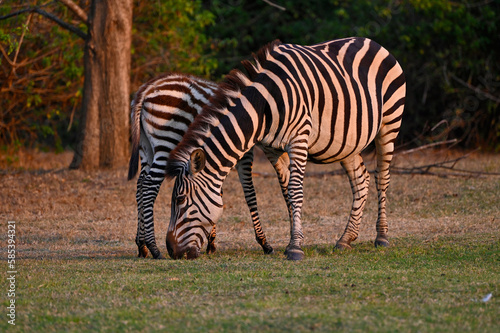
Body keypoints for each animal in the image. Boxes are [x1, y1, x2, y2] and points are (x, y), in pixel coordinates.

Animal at [129, 73, 288, 256]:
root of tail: (146, 89)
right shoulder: (243, 153)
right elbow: (250, 193)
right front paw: (264, 242)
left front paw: (210, 240)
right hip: (166, 140)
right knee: (149, 185)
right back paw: (154, 248)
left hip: (145, 147)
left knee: (140, 185)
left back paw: (141, 245)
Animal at [164, 36, 406, 260]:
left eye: (180, 200)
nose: (171, 251)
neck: (263, 106)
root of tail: (371, 41)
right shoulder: (271, 149)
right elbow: (286, 192)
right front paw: (295, 240)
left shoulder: (299, 139)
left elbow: (296, 191)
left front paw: (295, 247)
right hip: (347, 141)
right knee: (361, 180)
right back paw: (346, 238)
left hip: (389, 123)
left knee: (381, 177)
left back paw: (382, 237)